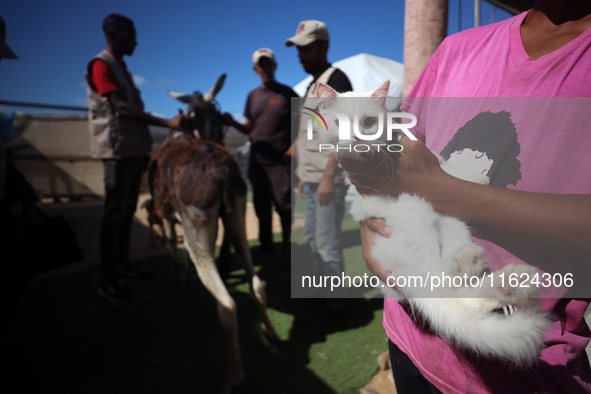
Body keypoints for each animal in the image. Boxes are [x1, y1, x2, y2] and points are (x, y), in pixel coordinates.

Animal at [314, 81, 552, 366]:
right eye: (340, 123)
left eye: (369, 122)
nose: (358, 139)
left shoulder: (425, 155)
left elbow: (445, 167)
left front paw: (474, 179)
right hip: (417, 216)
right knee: (444, 287)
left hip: (452, 221)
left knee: (456, 283)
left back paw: (477, 266)